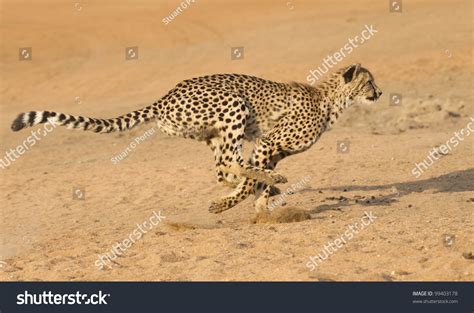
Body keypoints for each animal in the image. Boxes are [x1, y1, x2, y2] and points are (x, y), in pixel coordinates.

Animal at [11, 63, 382, 213]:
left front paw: (262, 203)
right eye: (369, 81)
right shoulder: (267, 144)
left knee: (221, 168)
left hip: (213, 133)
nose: (379, 93)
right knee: (230, 163)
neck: (329, 100)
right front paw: (235, 203)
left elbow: (255, 180)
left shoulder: (272, 150)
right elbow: (254, 178)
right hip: (233, 107)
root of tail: (167, 95)